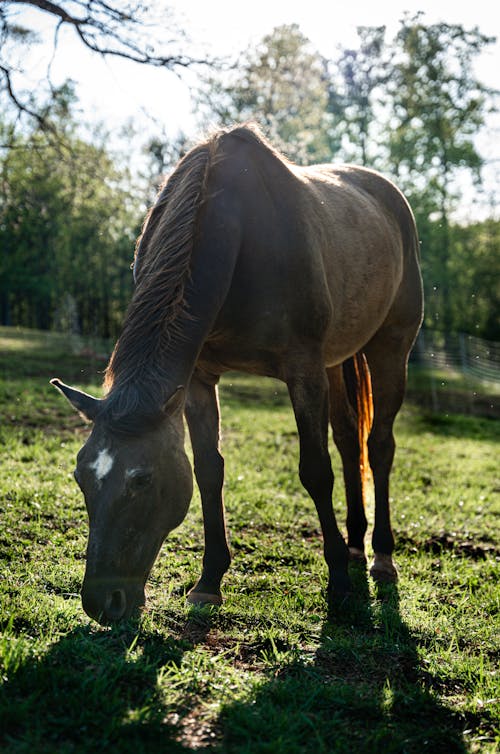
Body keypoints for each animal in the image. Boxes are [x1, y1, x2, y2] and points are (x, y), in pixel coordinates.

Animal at [52, 125, 424, 624]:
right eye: (80, 476)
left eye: (142, 479)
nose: (101, 602)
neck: (240, 234)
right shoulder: (197, 378)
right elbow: (209, 470)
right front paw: (209, 581)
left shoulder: (304, 371)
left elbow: (315, 471)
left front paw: (339, 586)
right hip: (337, 360)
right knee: (350, 442)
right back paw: (353, 545)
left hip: (389, 348)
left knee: (379, 446)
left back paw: (380, 554)